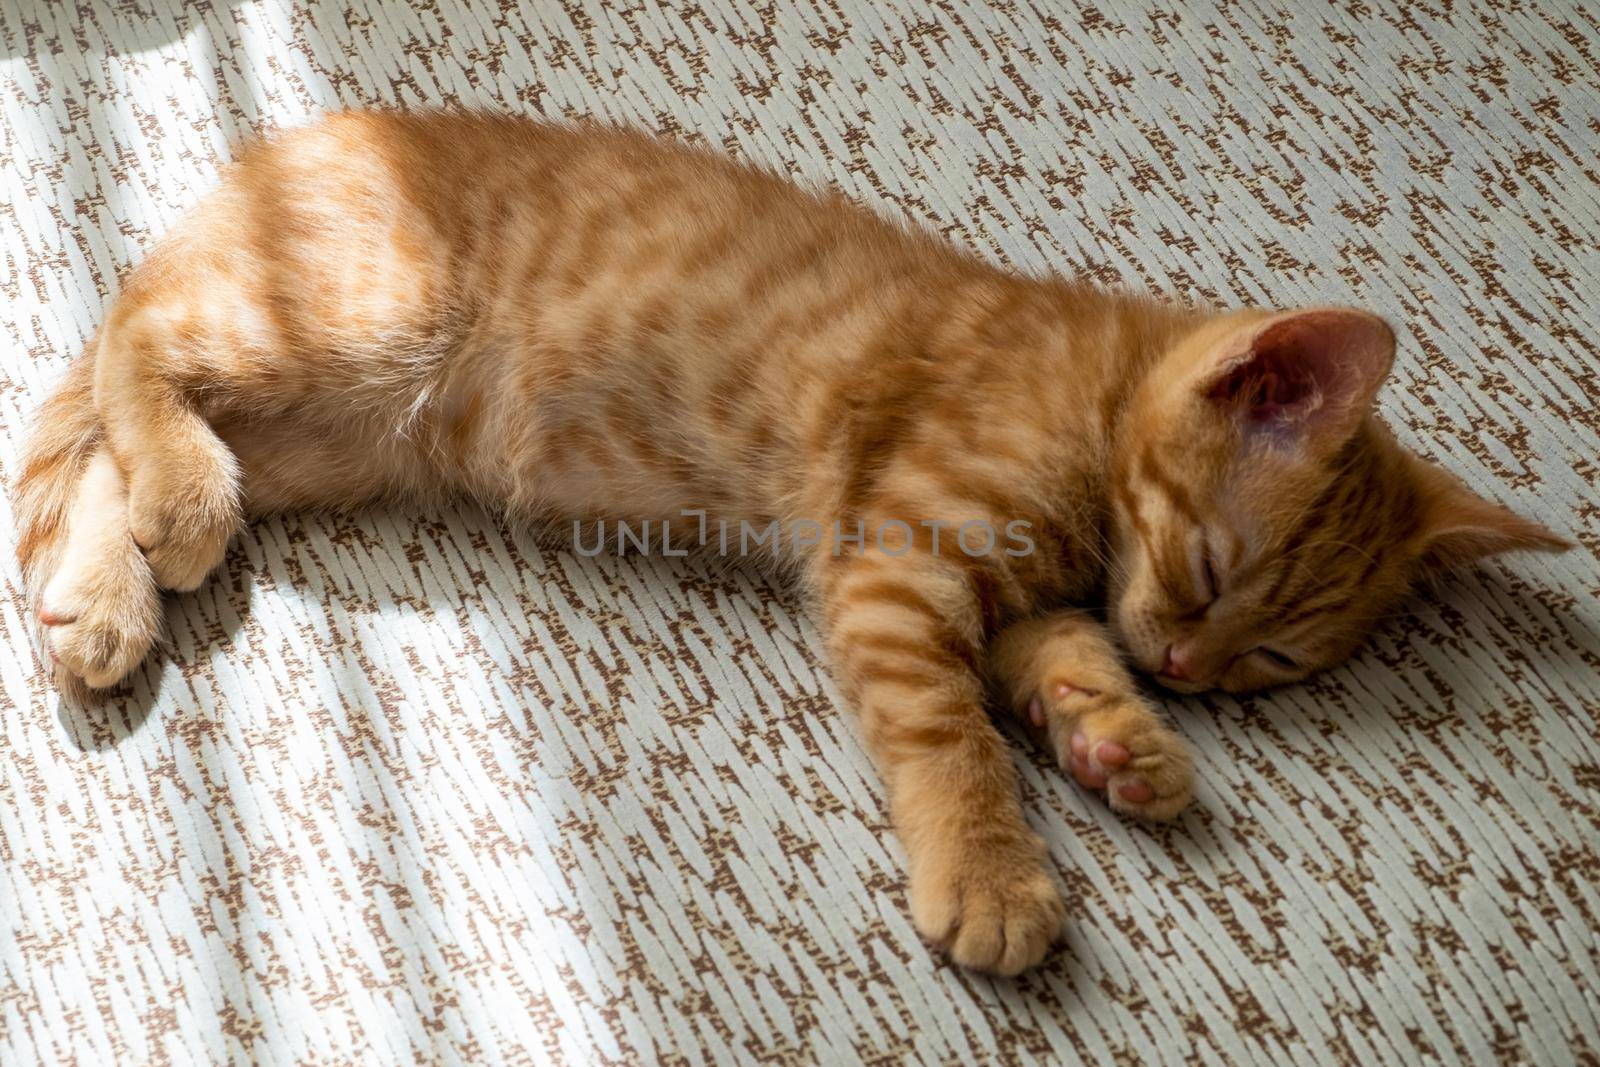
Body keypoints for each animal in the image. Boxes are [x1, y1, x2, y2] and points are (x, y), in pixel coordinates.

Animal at [12, 110, 1561, 979]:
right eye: (1216, 572)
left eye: (1277, 658)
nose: (1187, 666)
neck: (1095, 384)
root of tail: (294, 137)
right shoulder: (900, 561)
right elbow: (952, 735)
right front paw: (995, 874)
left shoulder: (1017, 599)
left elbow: (1061, 655)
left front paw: (1124, 740)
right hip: (349, 326)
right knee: (128, 339)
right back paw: (170, 512)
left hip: (338, 431)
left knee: (96, 436)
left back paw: (104, 595)